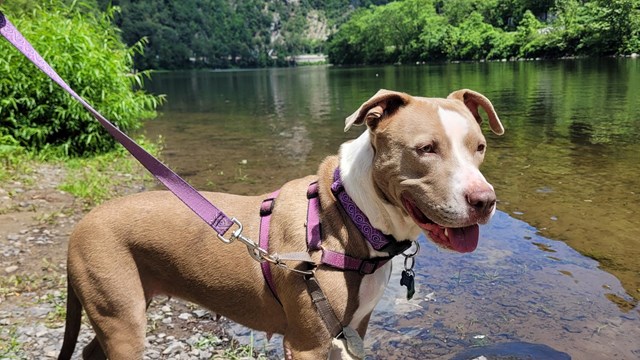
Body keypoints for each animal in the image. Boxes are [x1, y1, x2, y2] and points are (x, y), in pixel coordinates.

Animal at [57, 88, 502, 358]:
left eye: (479, 147)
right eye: (426, 149)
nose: (485, 201)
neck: (353, 214)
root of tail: (81, 224)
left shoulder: (353, 331)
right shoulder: (307, 342)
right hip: (123, 316)